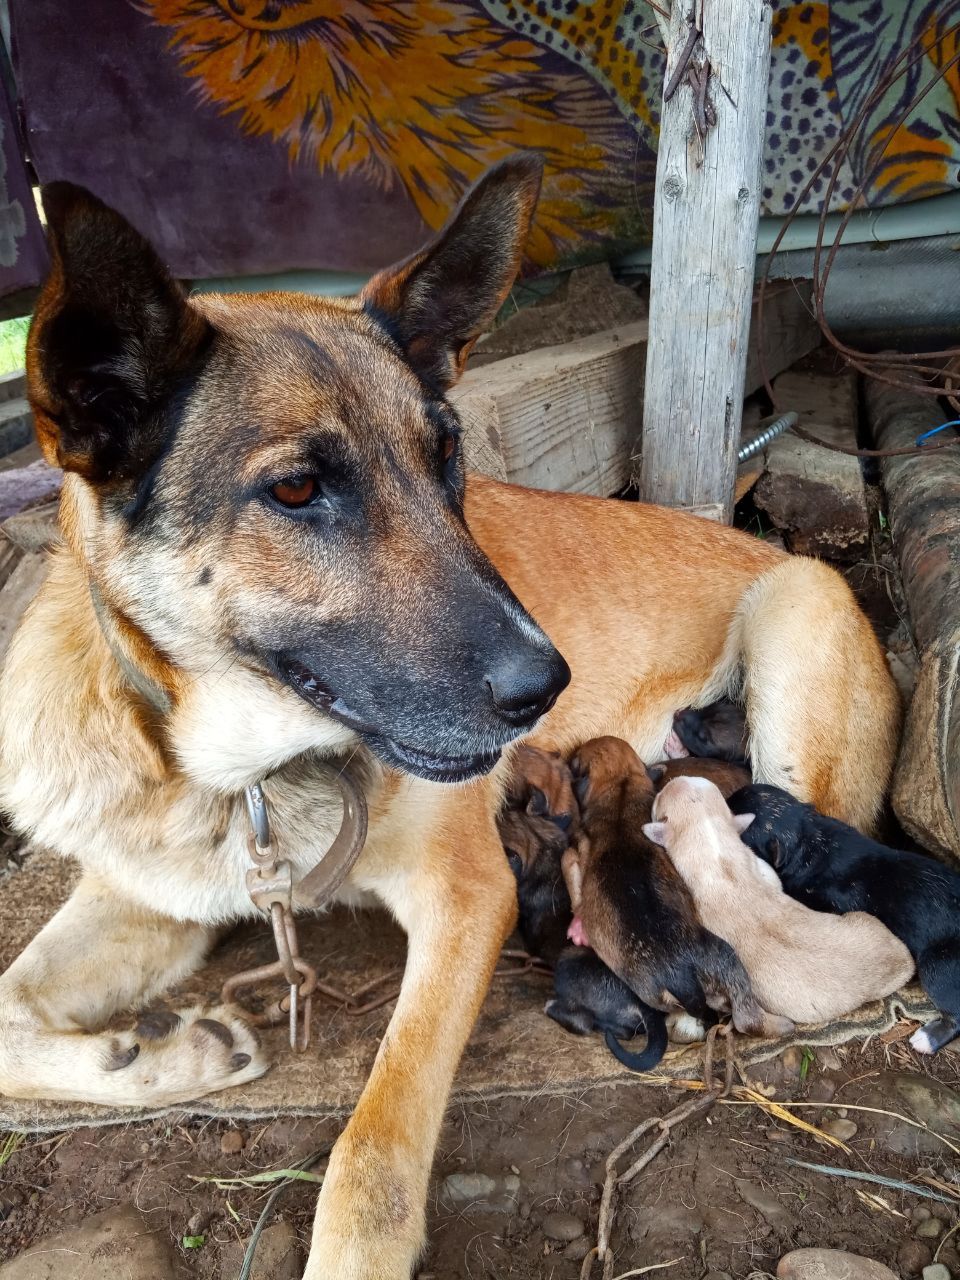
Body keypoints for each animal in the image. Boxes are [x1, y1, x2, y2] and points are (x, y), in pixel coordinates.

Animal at [563, 742, 788, 1039]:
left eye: (578, 758)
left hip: (652, 992)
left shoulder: (575, 852)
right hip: (726, 958)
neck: (620, 787)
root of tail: (683, 976)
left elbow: (568, 864)